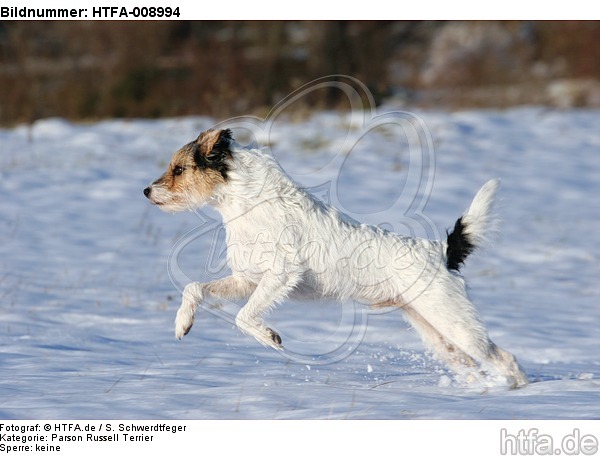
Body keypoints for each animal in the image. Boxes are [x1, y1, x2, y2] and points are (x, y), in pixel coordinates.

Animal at [143, 128, 528, 388]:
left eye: (179, 169)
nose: (146, 191)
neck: (248, 203)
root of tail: (443, 251)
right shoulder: (246, 280)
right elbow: (194, 288)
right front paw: (182, 324)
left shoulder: (280, 275)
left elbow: (244, 317)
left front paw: (269, 337)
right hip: (437, 333)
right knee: (471, 365)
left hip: (455, 322)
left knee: (505, 359)